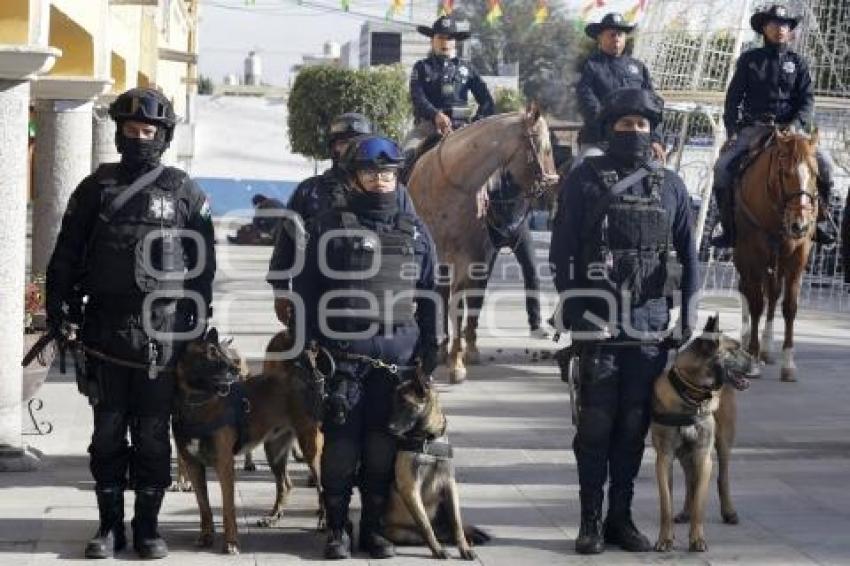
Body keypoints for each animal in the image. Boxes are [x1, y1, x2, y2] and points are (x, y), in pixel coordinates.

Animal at [380, 370, 486, 560]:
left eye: (405, 404)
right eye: (393, 404)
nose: (388, 428)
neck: (428, 439)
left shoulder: (450, 485)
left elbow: (457, 522)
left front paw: (464, 547)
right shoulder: (410, 489)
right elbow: (426, 526)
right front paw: (438, 550)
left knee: (451, 527)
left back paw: (470, 537)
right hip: (399, 532)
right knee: (430, 533)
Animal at [404, 104, 556, 384]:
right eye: (546, 147)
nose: (553, 185)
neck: (452, 185)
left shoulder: (472, 258)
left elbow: (461, 304)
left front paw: (457, 361)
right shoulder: (443, 257)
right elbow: (449, 302)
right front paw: (451, 358)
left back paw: (467, 349)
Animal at [648, 318, 748, 556]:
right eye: (735, 349)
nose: (759, 362)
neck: (691, 395)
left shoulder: (703, 457)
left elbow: (699, 505)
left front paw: (697, 539)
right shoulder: (664, 457)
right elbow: (666, 503)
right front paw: (665, 539)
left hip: (723, 443)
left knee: (722, 477)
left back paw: (728, 511)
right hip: (686, 453)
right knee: (689, 479)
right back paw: (685, 511)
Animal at [732, 131, 820, 384]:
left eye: (815, 174)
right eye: (785, 173)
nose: (800, 225)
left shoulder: (797, 257)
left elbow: (789, 306)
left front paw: (788, 364)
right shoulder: (752, 255)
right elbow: (756, 305)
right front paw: (752, 361)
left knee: (772, 294)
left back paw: (767, 347)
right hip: (745, 258)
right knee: (746, 290)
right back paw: (746, 344)